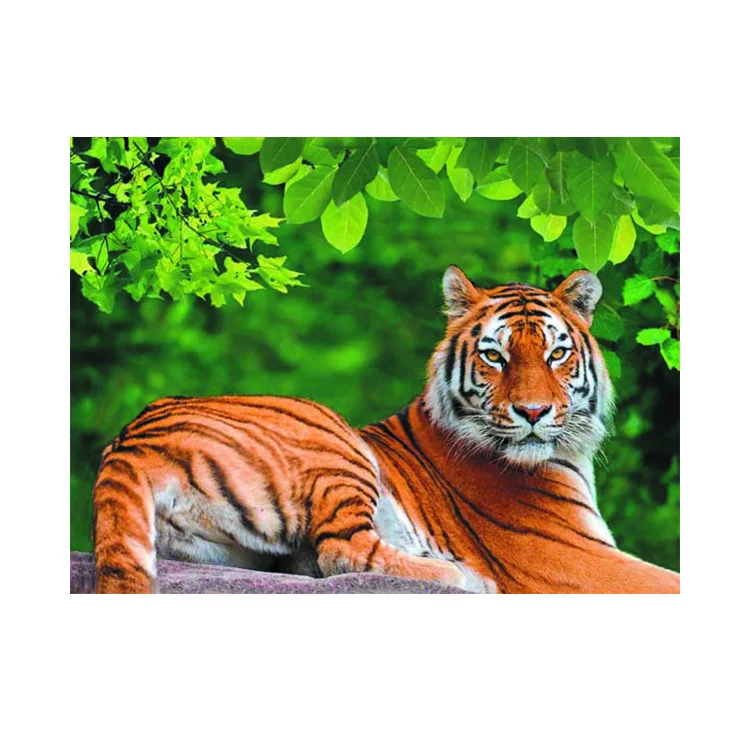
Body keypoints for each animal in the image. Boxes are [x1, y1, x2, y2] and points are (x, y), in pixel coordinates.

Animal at [91, 266, 680, 594]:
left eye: (557, 354)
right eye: (494, 356)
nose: (532, 413)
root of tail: (127, 443)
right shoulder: (572, 560)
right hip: (334, 439)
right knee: (342, 551)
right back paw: (466, 578)